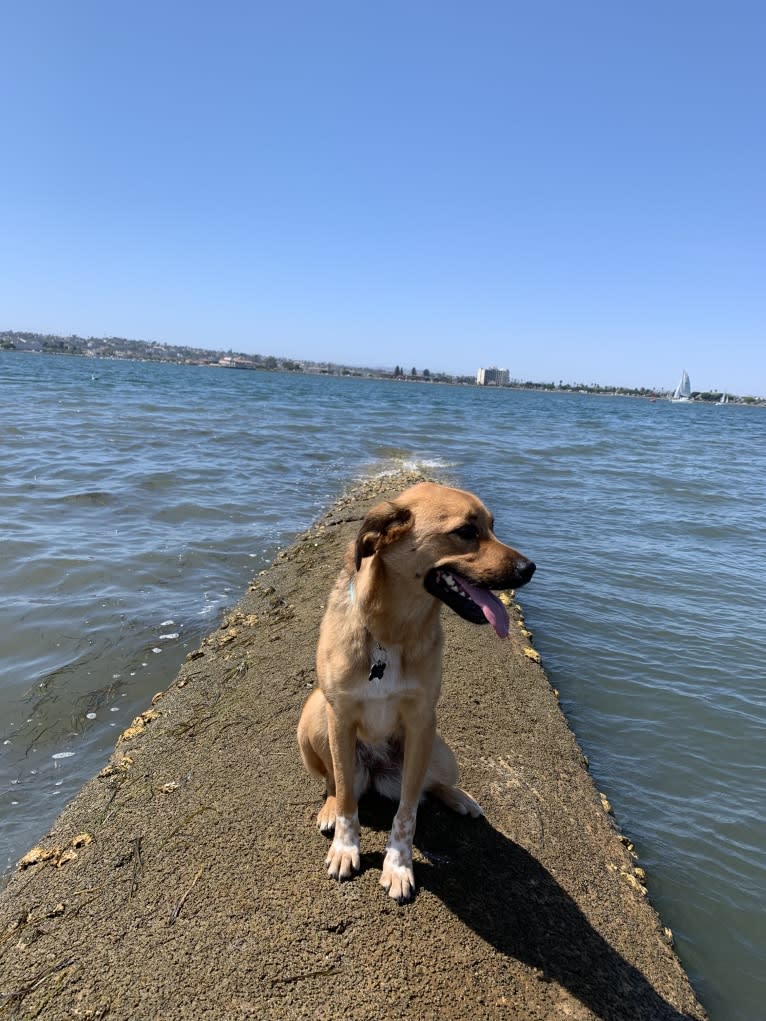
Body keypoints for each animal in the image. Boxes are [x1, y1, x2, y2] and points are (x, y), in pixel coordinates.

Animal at [296, 483, 535, 902]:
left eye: (492, 527)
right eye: (466, 531)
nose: (530, 568)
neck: (391, 632)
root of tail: (377, 773)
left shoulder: (422, 723)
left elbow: (408, 812)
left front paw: (398, 865)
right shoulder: (339, 717)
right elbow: (346, 799)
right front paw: (346, 847)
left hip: (442, 753)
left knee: (430, 785)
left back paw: (459, 798)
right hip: (313, 717)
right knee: (335, 782)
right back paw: (328, 808)